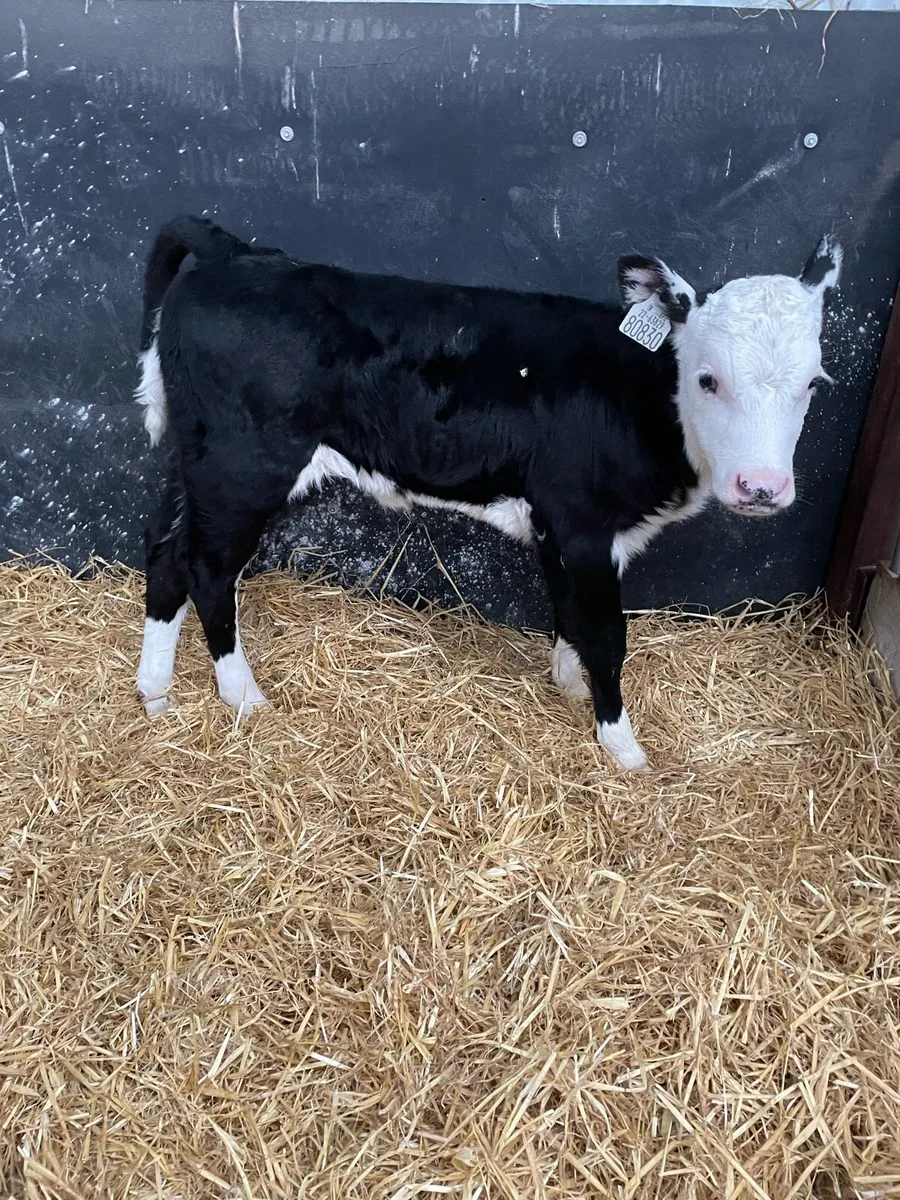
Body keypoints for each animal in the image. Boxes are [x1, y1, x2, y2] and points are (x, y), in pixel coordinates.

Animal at [134, 216, 841, 770]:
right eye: (706, 379)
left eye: (813, 383)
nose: (761, 487)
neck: (639, 394)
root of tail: (237, 254)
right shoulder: (585, 524)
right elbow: (606, 632)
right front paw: (622, 746)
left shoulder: (558, 526)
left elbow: (567, 612)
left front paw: (570, 686)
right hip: (243, 470)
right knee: (207, 569)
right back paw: (241, 695)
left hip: (196, 467)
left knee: (166, 556)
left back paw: (156, 693)